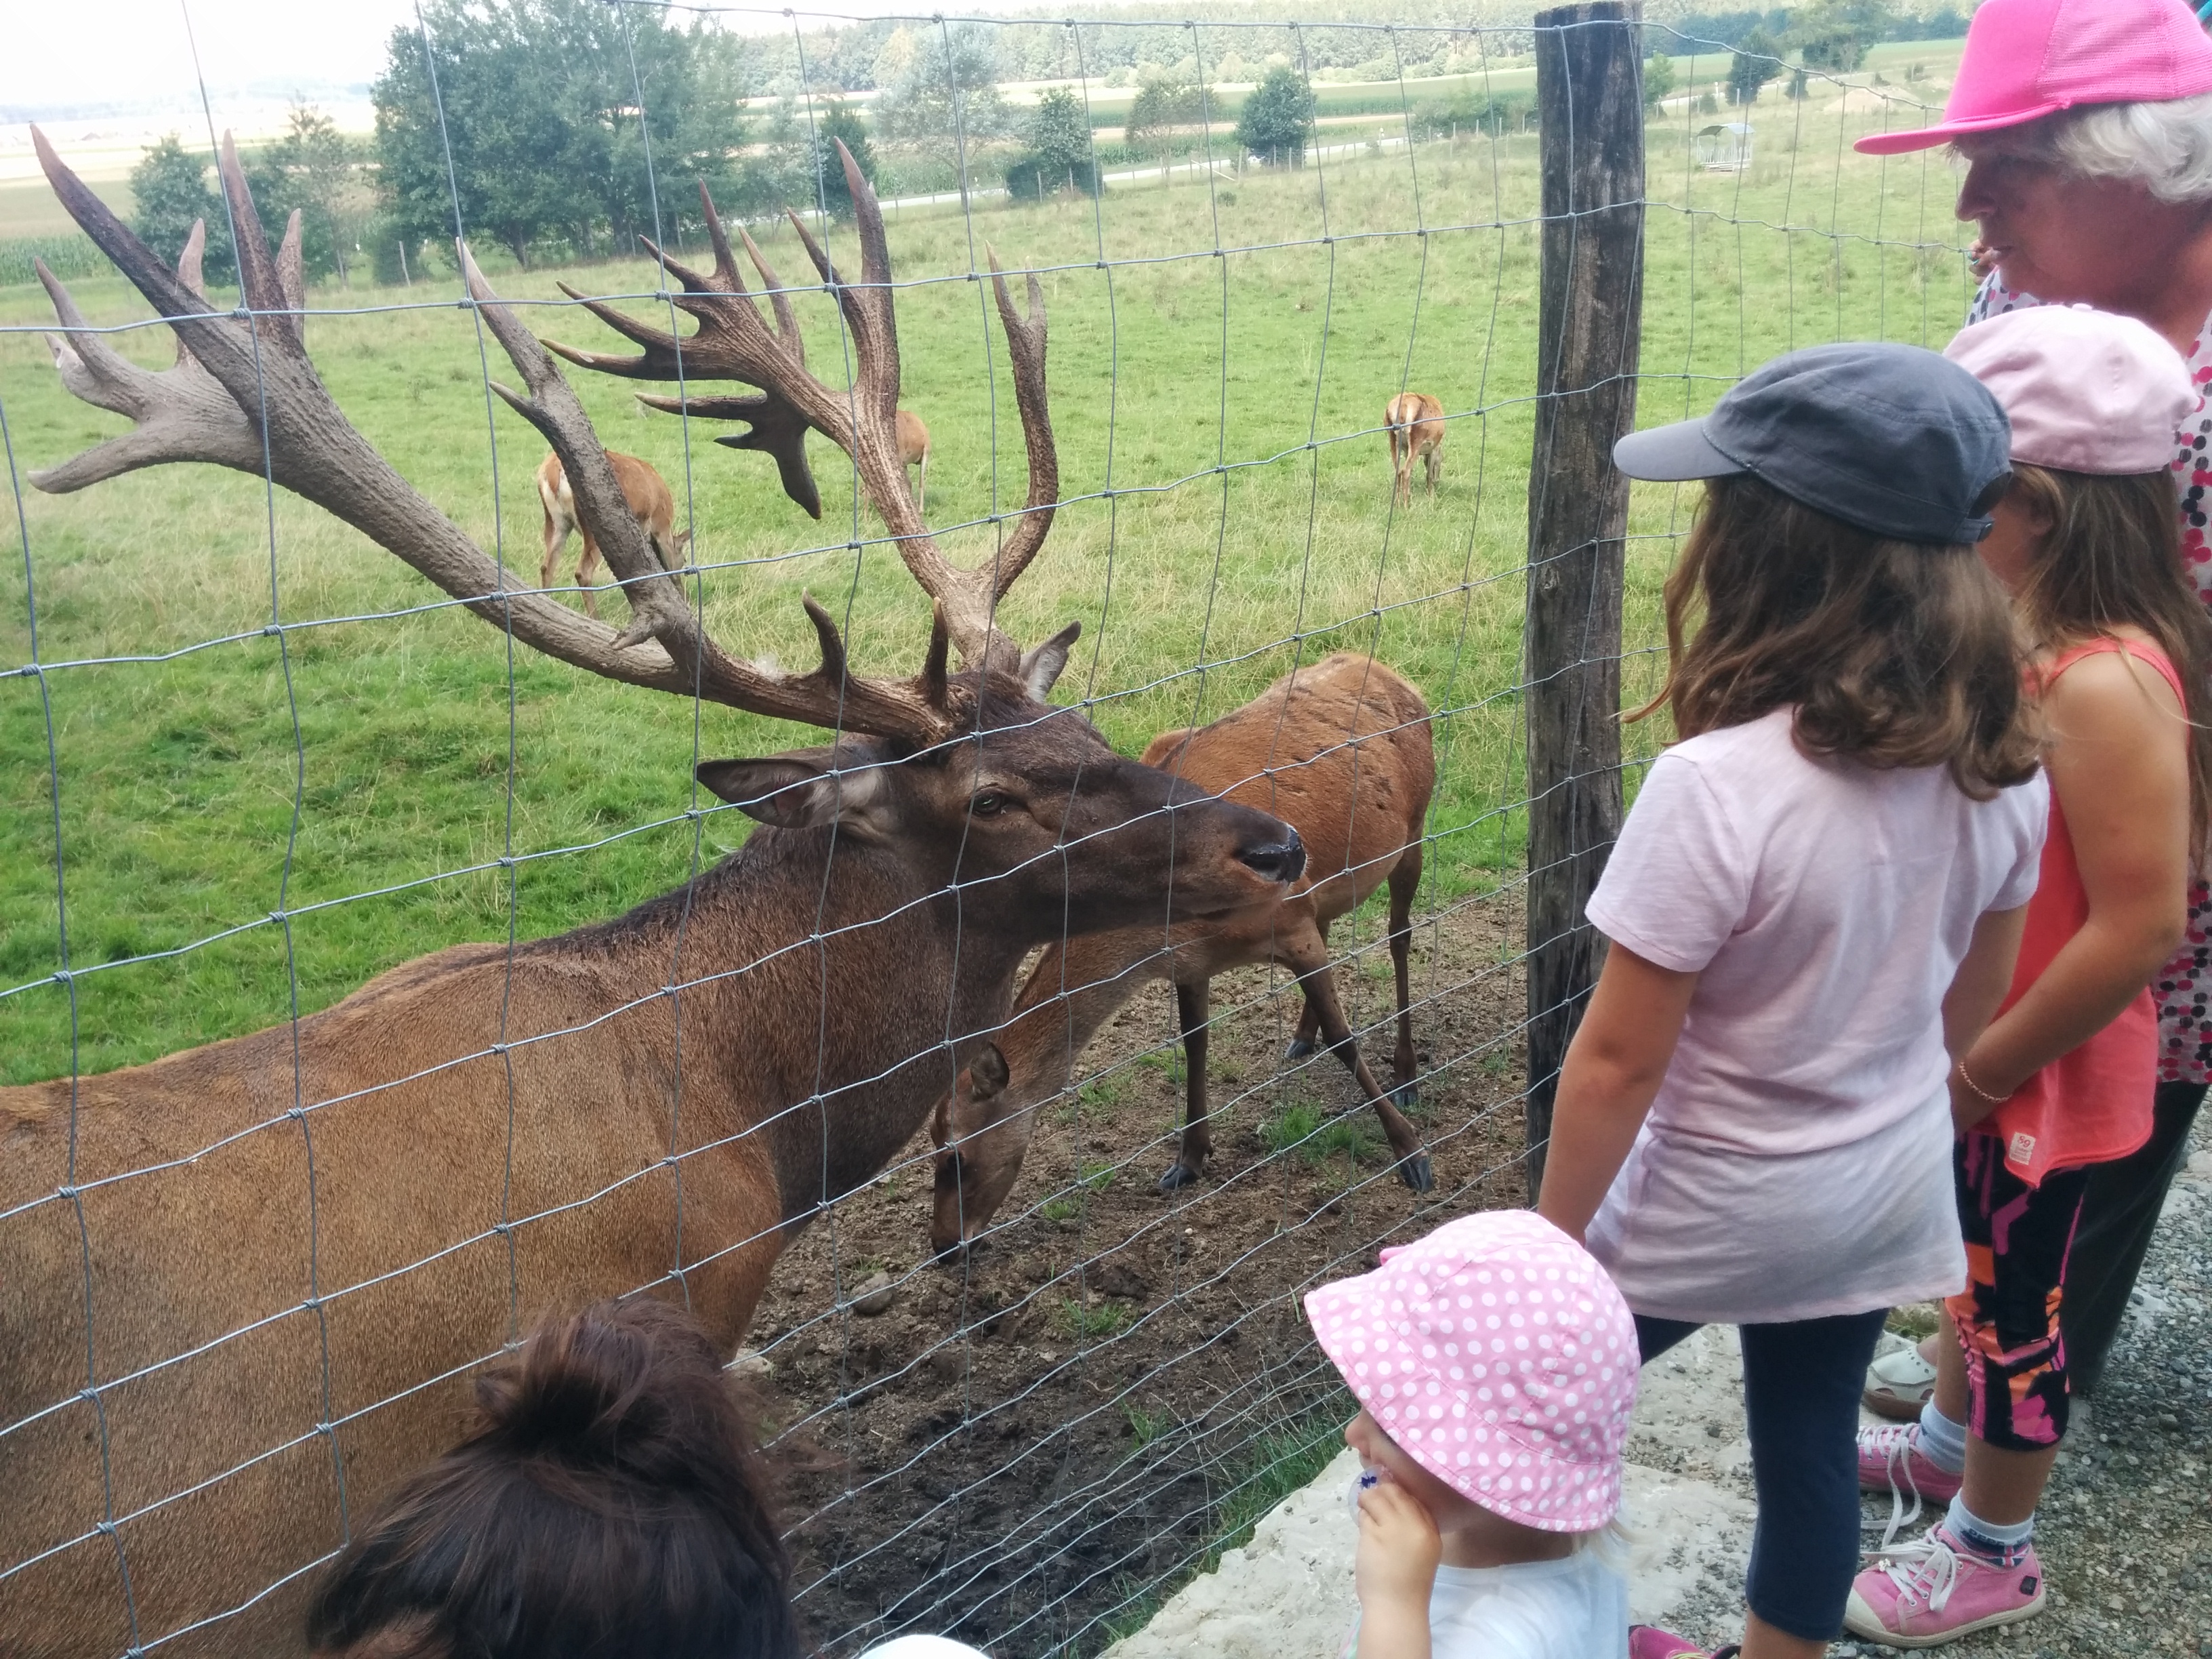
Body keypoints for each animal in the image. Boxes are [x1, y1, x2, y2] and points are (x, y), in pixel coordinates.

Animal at [531, 449, 685, 619]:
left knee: (547, 566)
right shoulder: (661, 524)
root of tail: (554, 472)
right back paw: (595, 618)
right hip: (593, 526)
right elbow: (671, 570)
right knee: (583, 572)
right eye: (684, 560)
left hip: (555, 520)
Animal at [920, 655, 1425, 1256]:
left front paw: (1411, 1153)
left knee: (1400, 935)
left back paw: (1407, 1073)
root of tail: (1386, 670)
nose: (945, 1244)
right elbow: (1195, 1045)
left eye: (954, 1156)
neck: (1177, 930)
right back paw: (1302, 1038)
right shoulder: (1194, 963)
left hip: (1416, 828)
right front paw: (1188, 1158)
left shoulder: (1292, 923)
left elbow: (1346, 1040)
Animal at [1380, 391, 1451, 506]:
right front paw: (1431, 496)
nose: (1438, 481)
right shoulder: (1434, 448)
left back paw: (1397, 503)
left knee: (1398, 470)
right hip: (1416, 439)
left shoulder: (1406, 449)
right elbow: (1429, 474)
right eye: (1442, 460)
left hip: (1392, 437)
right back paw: (1406, 506)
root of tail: (1403, 408)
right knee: (1405, 471)